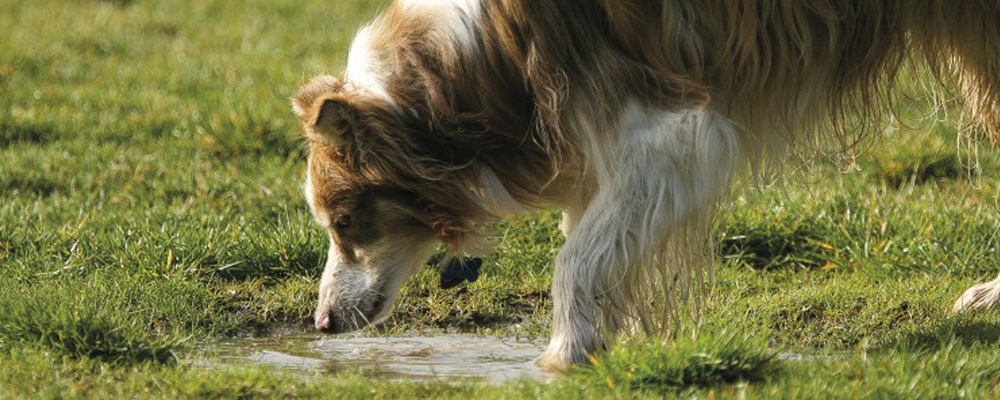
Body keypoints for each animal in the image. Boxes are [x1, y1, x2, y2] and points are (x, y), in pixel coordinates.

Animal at [292, 0, 1000, 372]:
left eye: (345, 223)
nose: (322, 323)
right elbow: (599, 245)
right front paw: (603, 340)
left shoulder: (670, 130)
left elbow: (576, 257)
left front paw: (564, 356)